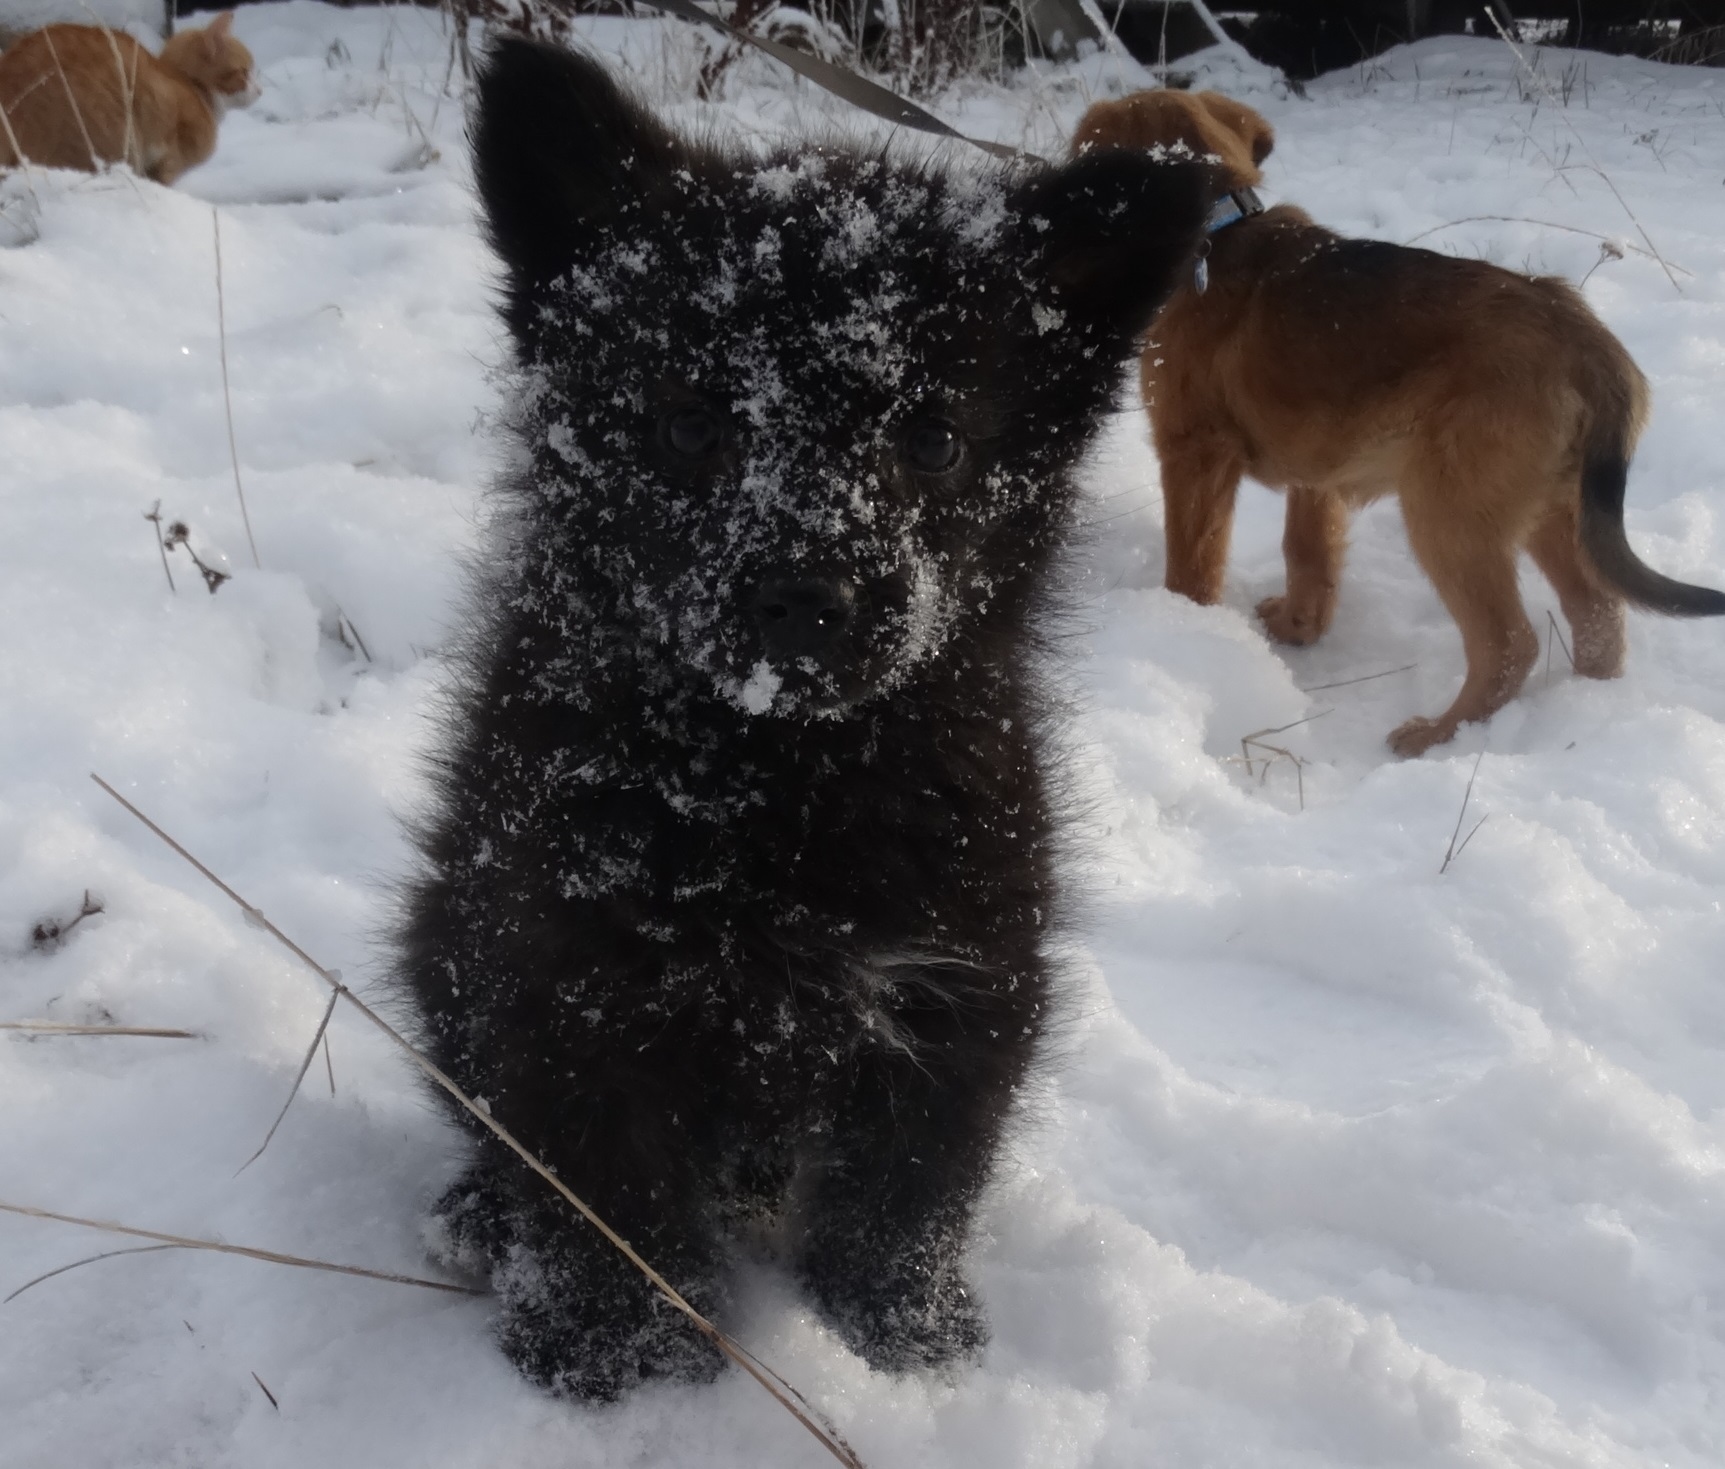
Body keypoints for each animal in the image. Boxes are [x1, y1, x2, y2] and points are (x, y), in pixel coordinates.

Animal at [396, 40, 1207, 1400]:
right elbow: (603, 1185)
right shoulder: (568, 973)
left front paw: (900, 1346)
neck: (781, 779)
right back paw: (478, 1214)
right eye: (687, 421)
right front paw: (618, 1357)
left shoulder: (968, 983)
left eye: (932, 435)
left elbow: (910, 1188)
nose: (804, 596)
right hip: (441, 943)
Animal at [1069, 91, 1718, 758]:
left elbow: (1192, 566)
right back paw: (1583, 713)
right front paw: (1297, 628)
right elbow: (1308, 555)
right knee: (1598, 616)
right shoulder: (1319, 471)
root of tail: (1588, 342)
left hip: (1448, 512)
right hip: (1552, 507)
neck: (1219, 230)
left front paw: (1183, 636)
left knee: (1510, 644)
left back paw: (1438, 735)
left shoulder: (1193, 454)